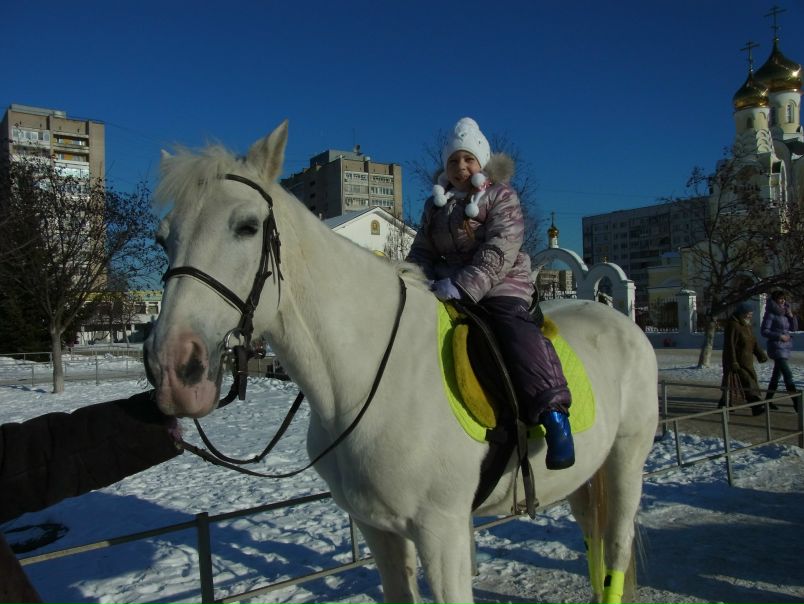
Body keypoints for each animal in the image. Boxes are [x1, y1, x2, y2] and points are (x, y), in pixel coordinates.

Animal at [144, 121, 658, 604]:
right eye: (164, 239)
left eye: (248, 226)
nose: (173, 367)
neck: (367, 379)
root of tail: (618, 319)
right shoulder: (380, 529)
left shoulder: (442, 533)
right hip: (585, 476)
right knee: (594, 539)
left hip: (625, 461)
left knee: (615, 547)